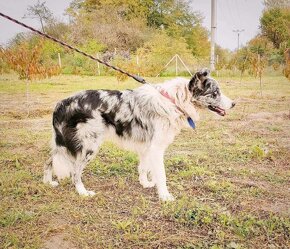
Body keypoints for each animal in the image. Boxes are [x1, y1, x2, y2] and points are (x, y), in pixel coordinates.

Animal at [43, 68, 234, 200]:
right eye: (215, 93)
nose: (234, 104)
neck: (174, 102)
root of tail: (62, 103)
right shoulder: (156, 148)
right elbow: (161, 174)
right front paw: (165, 196)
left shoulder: (146, 147)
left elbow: (144, 167)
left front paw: (145, 183)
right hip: (89, 145)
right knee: (75, 171)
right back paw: (82, 192)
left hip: (62, 144)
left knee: (49, 160)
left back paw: (48, 182)